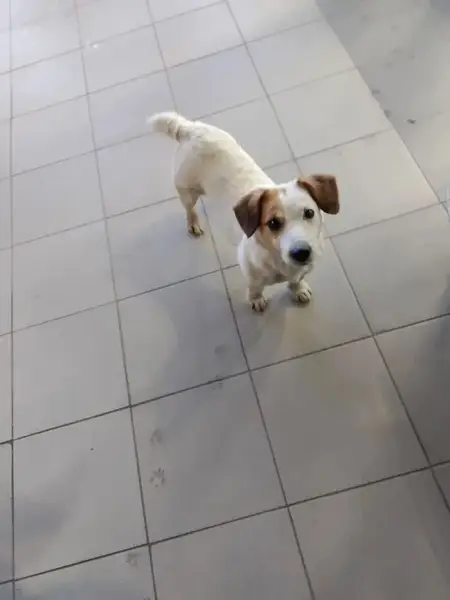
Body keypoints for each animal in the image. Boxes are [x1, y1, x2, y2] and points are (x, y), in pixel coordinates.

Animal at [150, 112, 339, 312]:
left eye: (309, 213)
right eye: (273, 222)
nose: (301, 252)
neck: (278, 260)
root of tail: (188, 128)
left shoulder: (303, 270)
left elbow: (296, 281)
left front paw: (298, 289)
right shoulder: (251, 274)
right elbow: (255, 289)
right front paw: (256, 300)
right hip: (187, 191)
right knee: (189, 210)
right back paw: (193, 223)